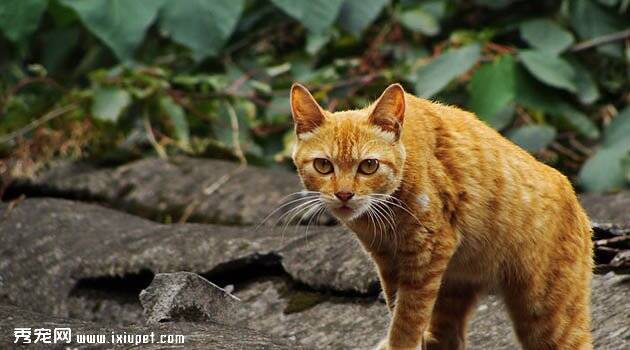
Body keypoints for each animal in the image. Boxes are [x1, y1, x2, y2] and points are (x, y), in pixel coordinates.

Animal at [288, 83, 596, 348]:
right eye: (323, 165)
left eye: (369, 166)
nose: (344, 195)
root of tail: (579, 206)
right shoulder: (389, 263)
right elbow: (398, 307)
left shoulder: (426, 253)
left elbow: (407, 318)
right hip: (454, 290)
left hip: (546, 314)